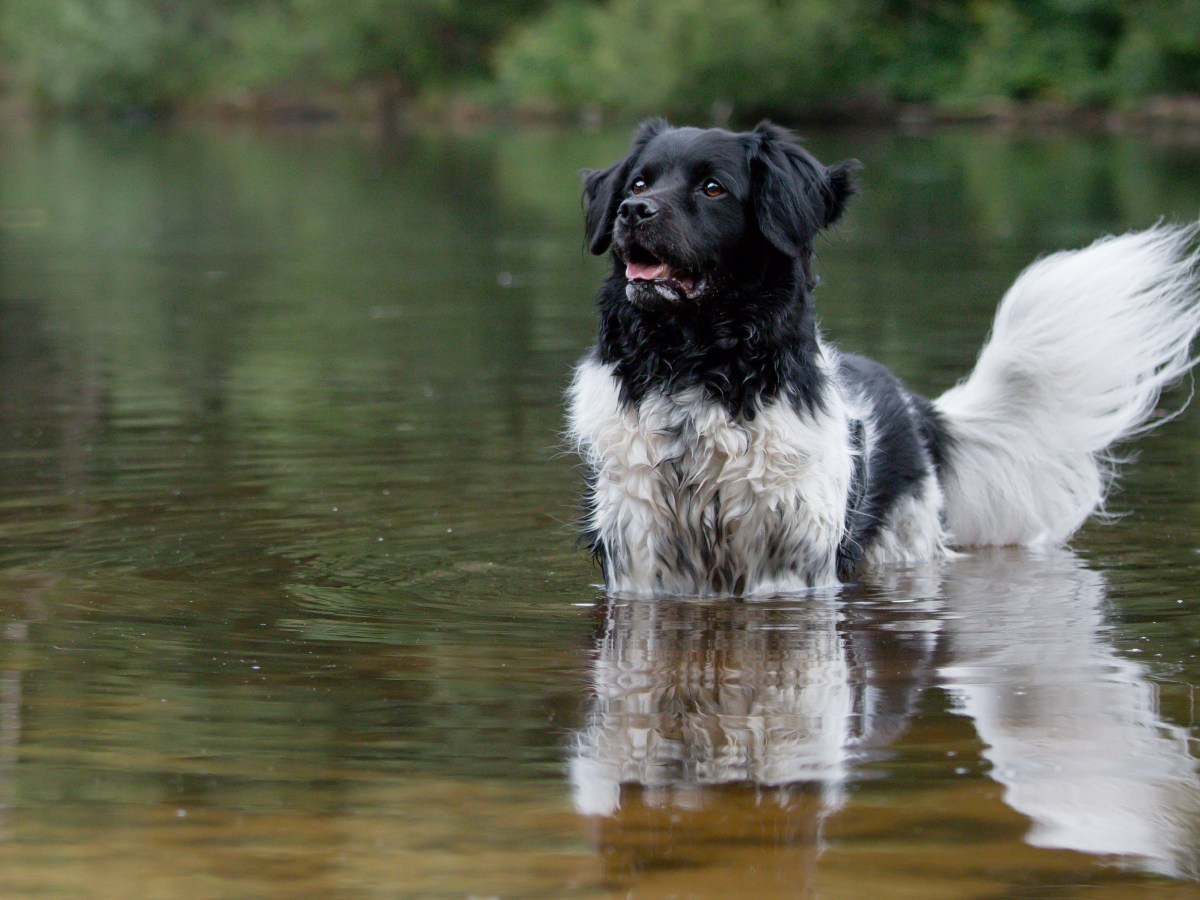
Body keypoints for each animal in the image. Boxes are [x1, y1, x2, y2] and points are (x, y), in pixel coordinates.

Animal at [564, 121, 1200, 600]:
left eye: (713, 188)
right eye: (639, 180)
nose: (632, 210)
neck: (697, 370)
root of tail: (917, 405)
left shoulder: (790, 563)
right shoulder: (641, 557)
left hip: (902, 542)